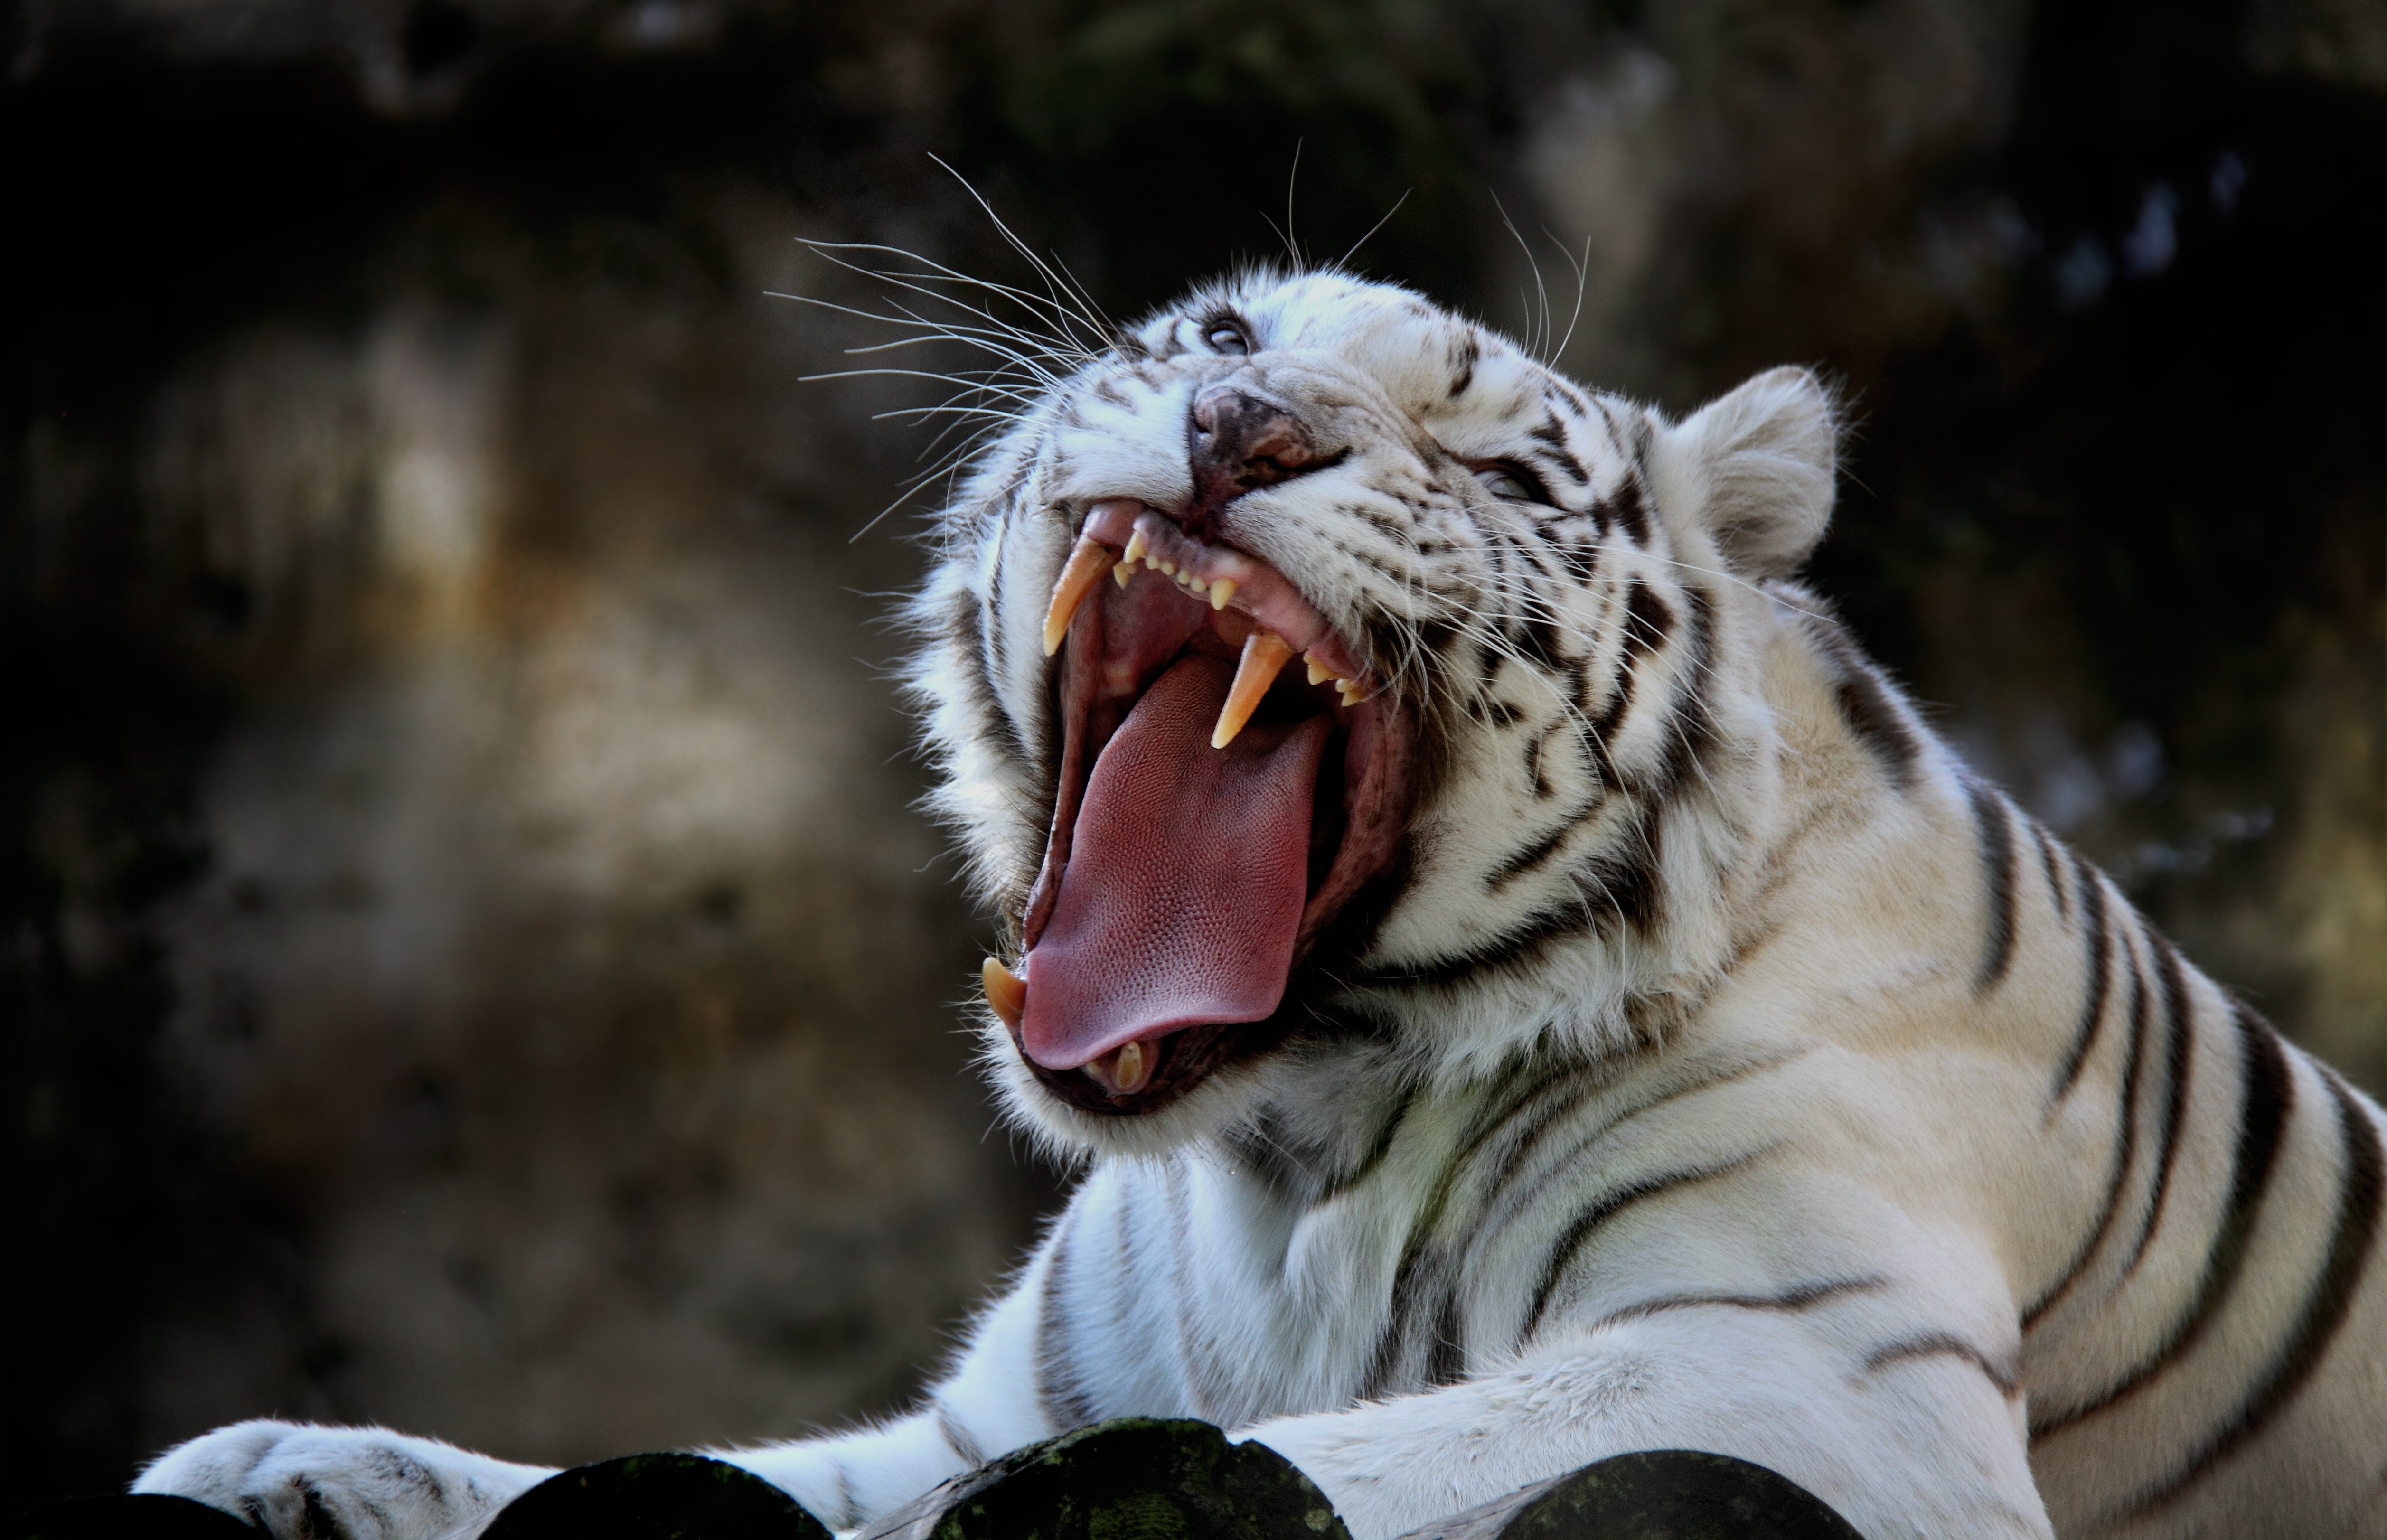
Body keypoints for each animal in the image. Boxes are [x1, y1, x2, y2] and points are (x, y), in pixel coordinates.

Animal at [134, 268, 2385, 1540]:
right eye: (1222, 341)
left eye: (1495, 468)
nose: (1241, 422)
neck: (1294, 1139)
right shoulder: (1019, 1398)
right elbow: (716, 1475)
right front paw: (275, 1467)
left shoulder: (1798, 1368)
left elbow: (1352, 1456)